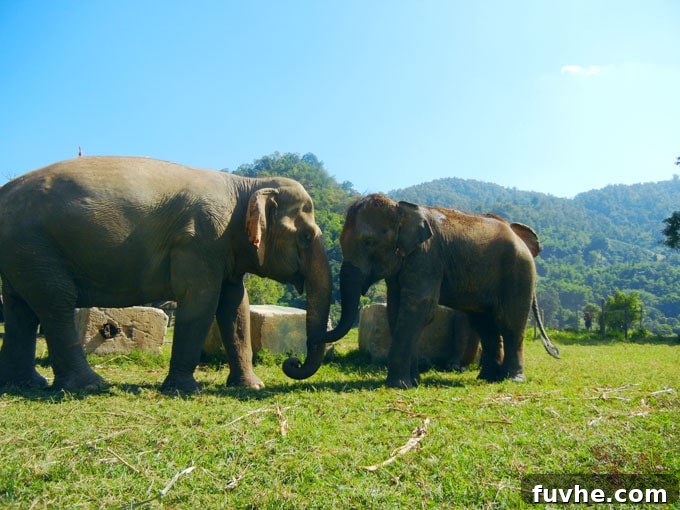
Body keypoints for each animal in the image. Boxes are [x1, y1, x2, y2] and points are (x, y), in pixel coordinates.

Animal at [0, 156, 331, 393]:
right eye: (305, 237)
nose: (291, 363)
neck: (247, 184)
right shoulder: (200, 240)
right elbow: (200, 301)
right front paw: (184, 390)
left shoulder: (224, 247)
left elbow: (235, 305)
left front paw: (251, 386)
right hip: (33, 246)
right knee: (56, 301)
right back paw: (91, 385)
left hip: (22, 253)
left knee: (20, 309)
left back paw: (26, 384)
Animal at [283, 193, 559, 388]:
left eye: (369, 242)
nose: (293, 361)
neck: (401, 208)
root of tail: (519, 236)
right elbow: (396, 310)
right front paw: (412, 381)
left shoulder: (427, 256)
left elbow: (420, 308)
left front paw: (398, 385)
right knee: (485, 324)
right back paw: (487, 379)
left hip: (519, 271)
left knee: (510, 322)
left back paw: (512, 379)